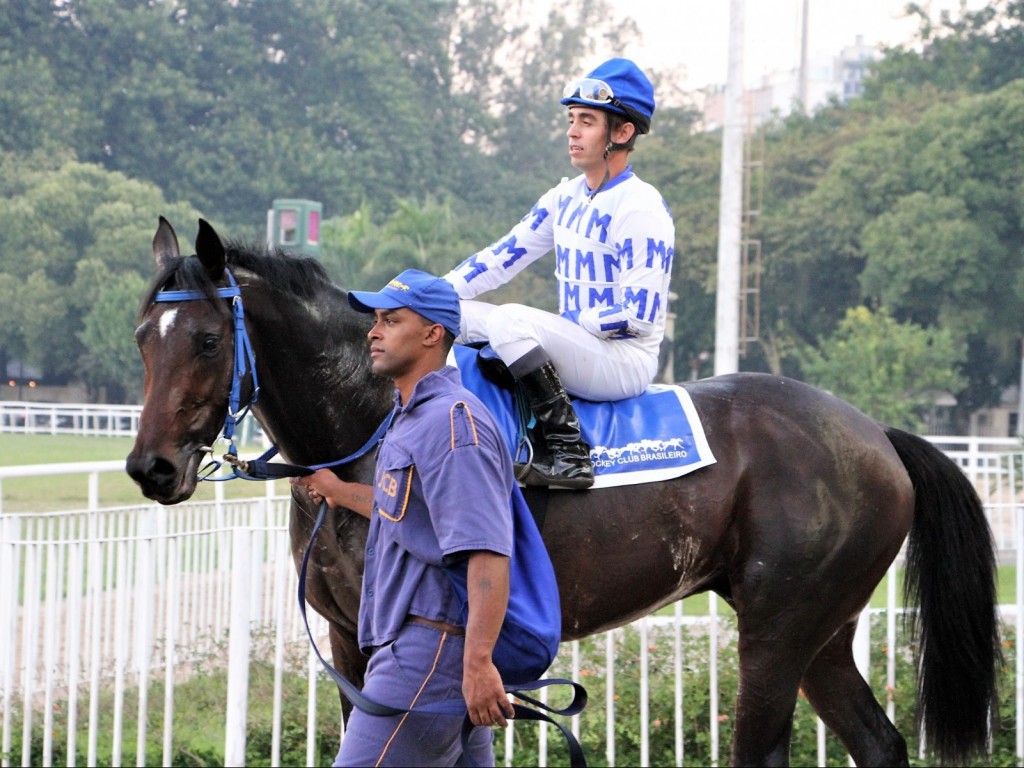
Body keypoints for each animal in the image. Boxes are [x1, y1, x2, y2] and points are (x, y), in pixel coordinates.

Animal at [128, 218, 999, 768]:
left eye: (205, 340)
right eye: (142, 338)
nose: (151, 469)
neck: (372, 423)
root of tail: (875, 433)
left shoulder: (408, 644)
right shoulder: (350, 639)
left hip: (778, 630)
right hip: (821, 632)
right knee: (880, 742)